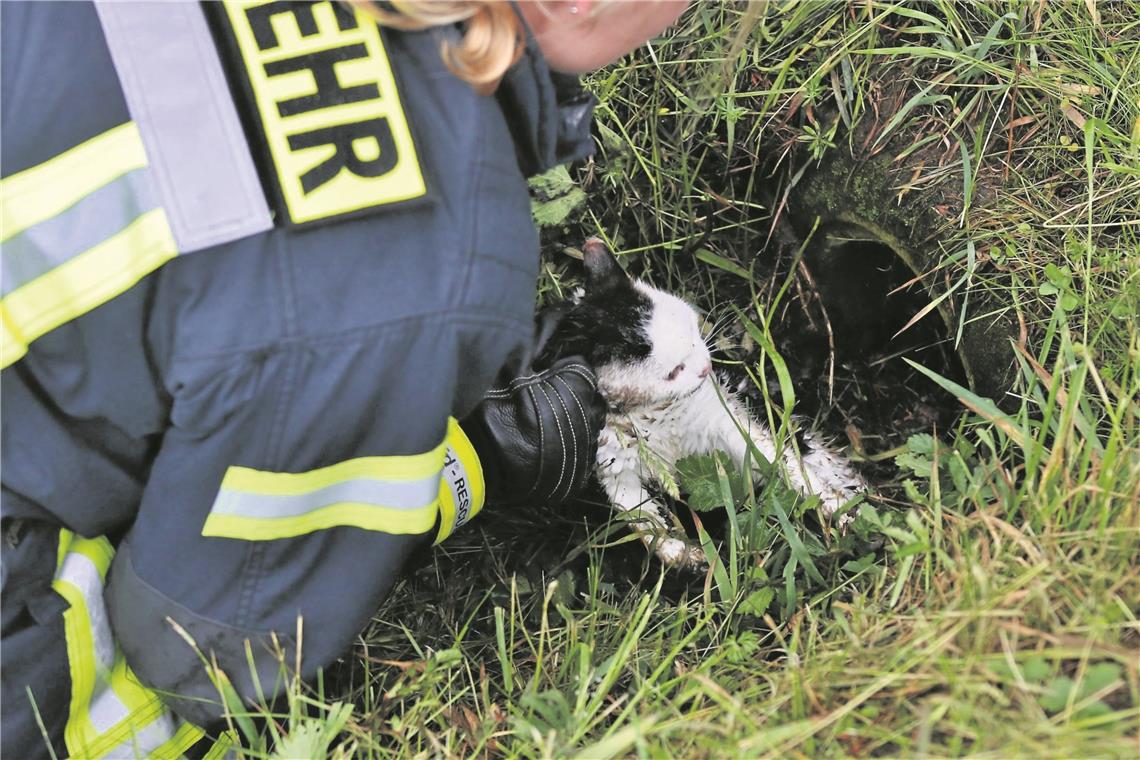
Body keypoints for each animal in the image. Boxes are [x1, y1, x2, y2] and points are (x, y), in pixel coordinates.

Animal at [547, 240, 866, 567]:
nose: (705, 367)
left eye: (692, 331)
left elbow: (780, 462)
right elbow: (643, 520)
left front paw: (835, 507)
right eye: (674, 371)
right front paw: (686, 555)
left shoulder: (726, 421)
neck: (656, 415)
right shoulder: (613, 465)